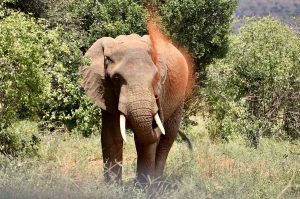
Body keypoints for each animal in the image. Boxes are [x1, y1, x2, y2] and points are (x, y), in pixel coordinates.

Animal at [78, 29, 193, 185]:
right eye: (116, 79)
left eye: (156, 78)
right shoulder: (106, 93)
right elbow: (111, 137)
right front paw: (113, 187)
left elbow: (145, 141)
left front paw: (143, 188)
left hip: (179, 98)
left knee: (167, 137)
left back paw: (157, 183)